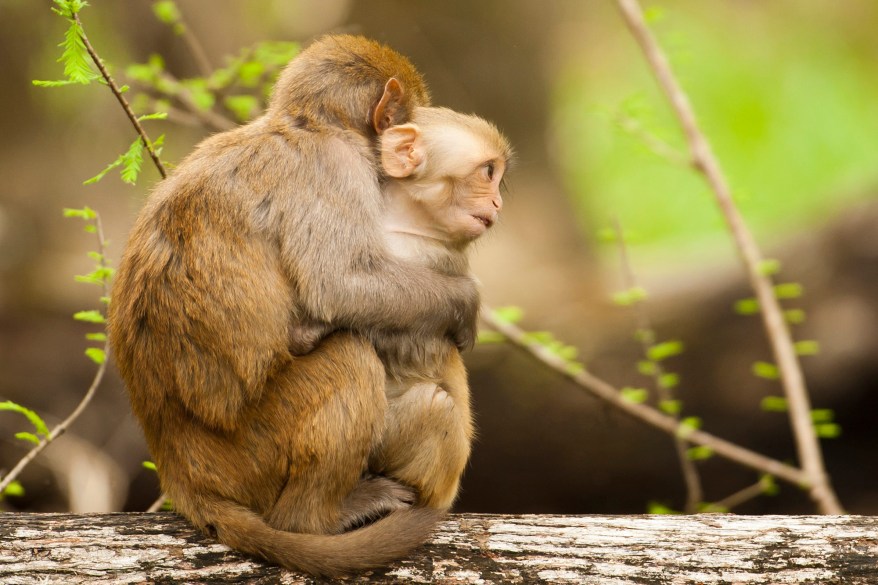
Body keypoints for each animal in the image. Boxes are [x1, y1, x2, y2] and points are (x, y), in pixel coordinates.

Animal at [109, 33, 512, 576]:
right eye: (487, 174)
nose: (496, 204)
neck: (306, 123)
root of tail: (181, 468)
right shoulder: (335, 164)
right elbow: (339, 286)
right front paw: (466, 305)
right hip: (253, 454)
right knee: (351, 358)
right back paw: (317, 518)